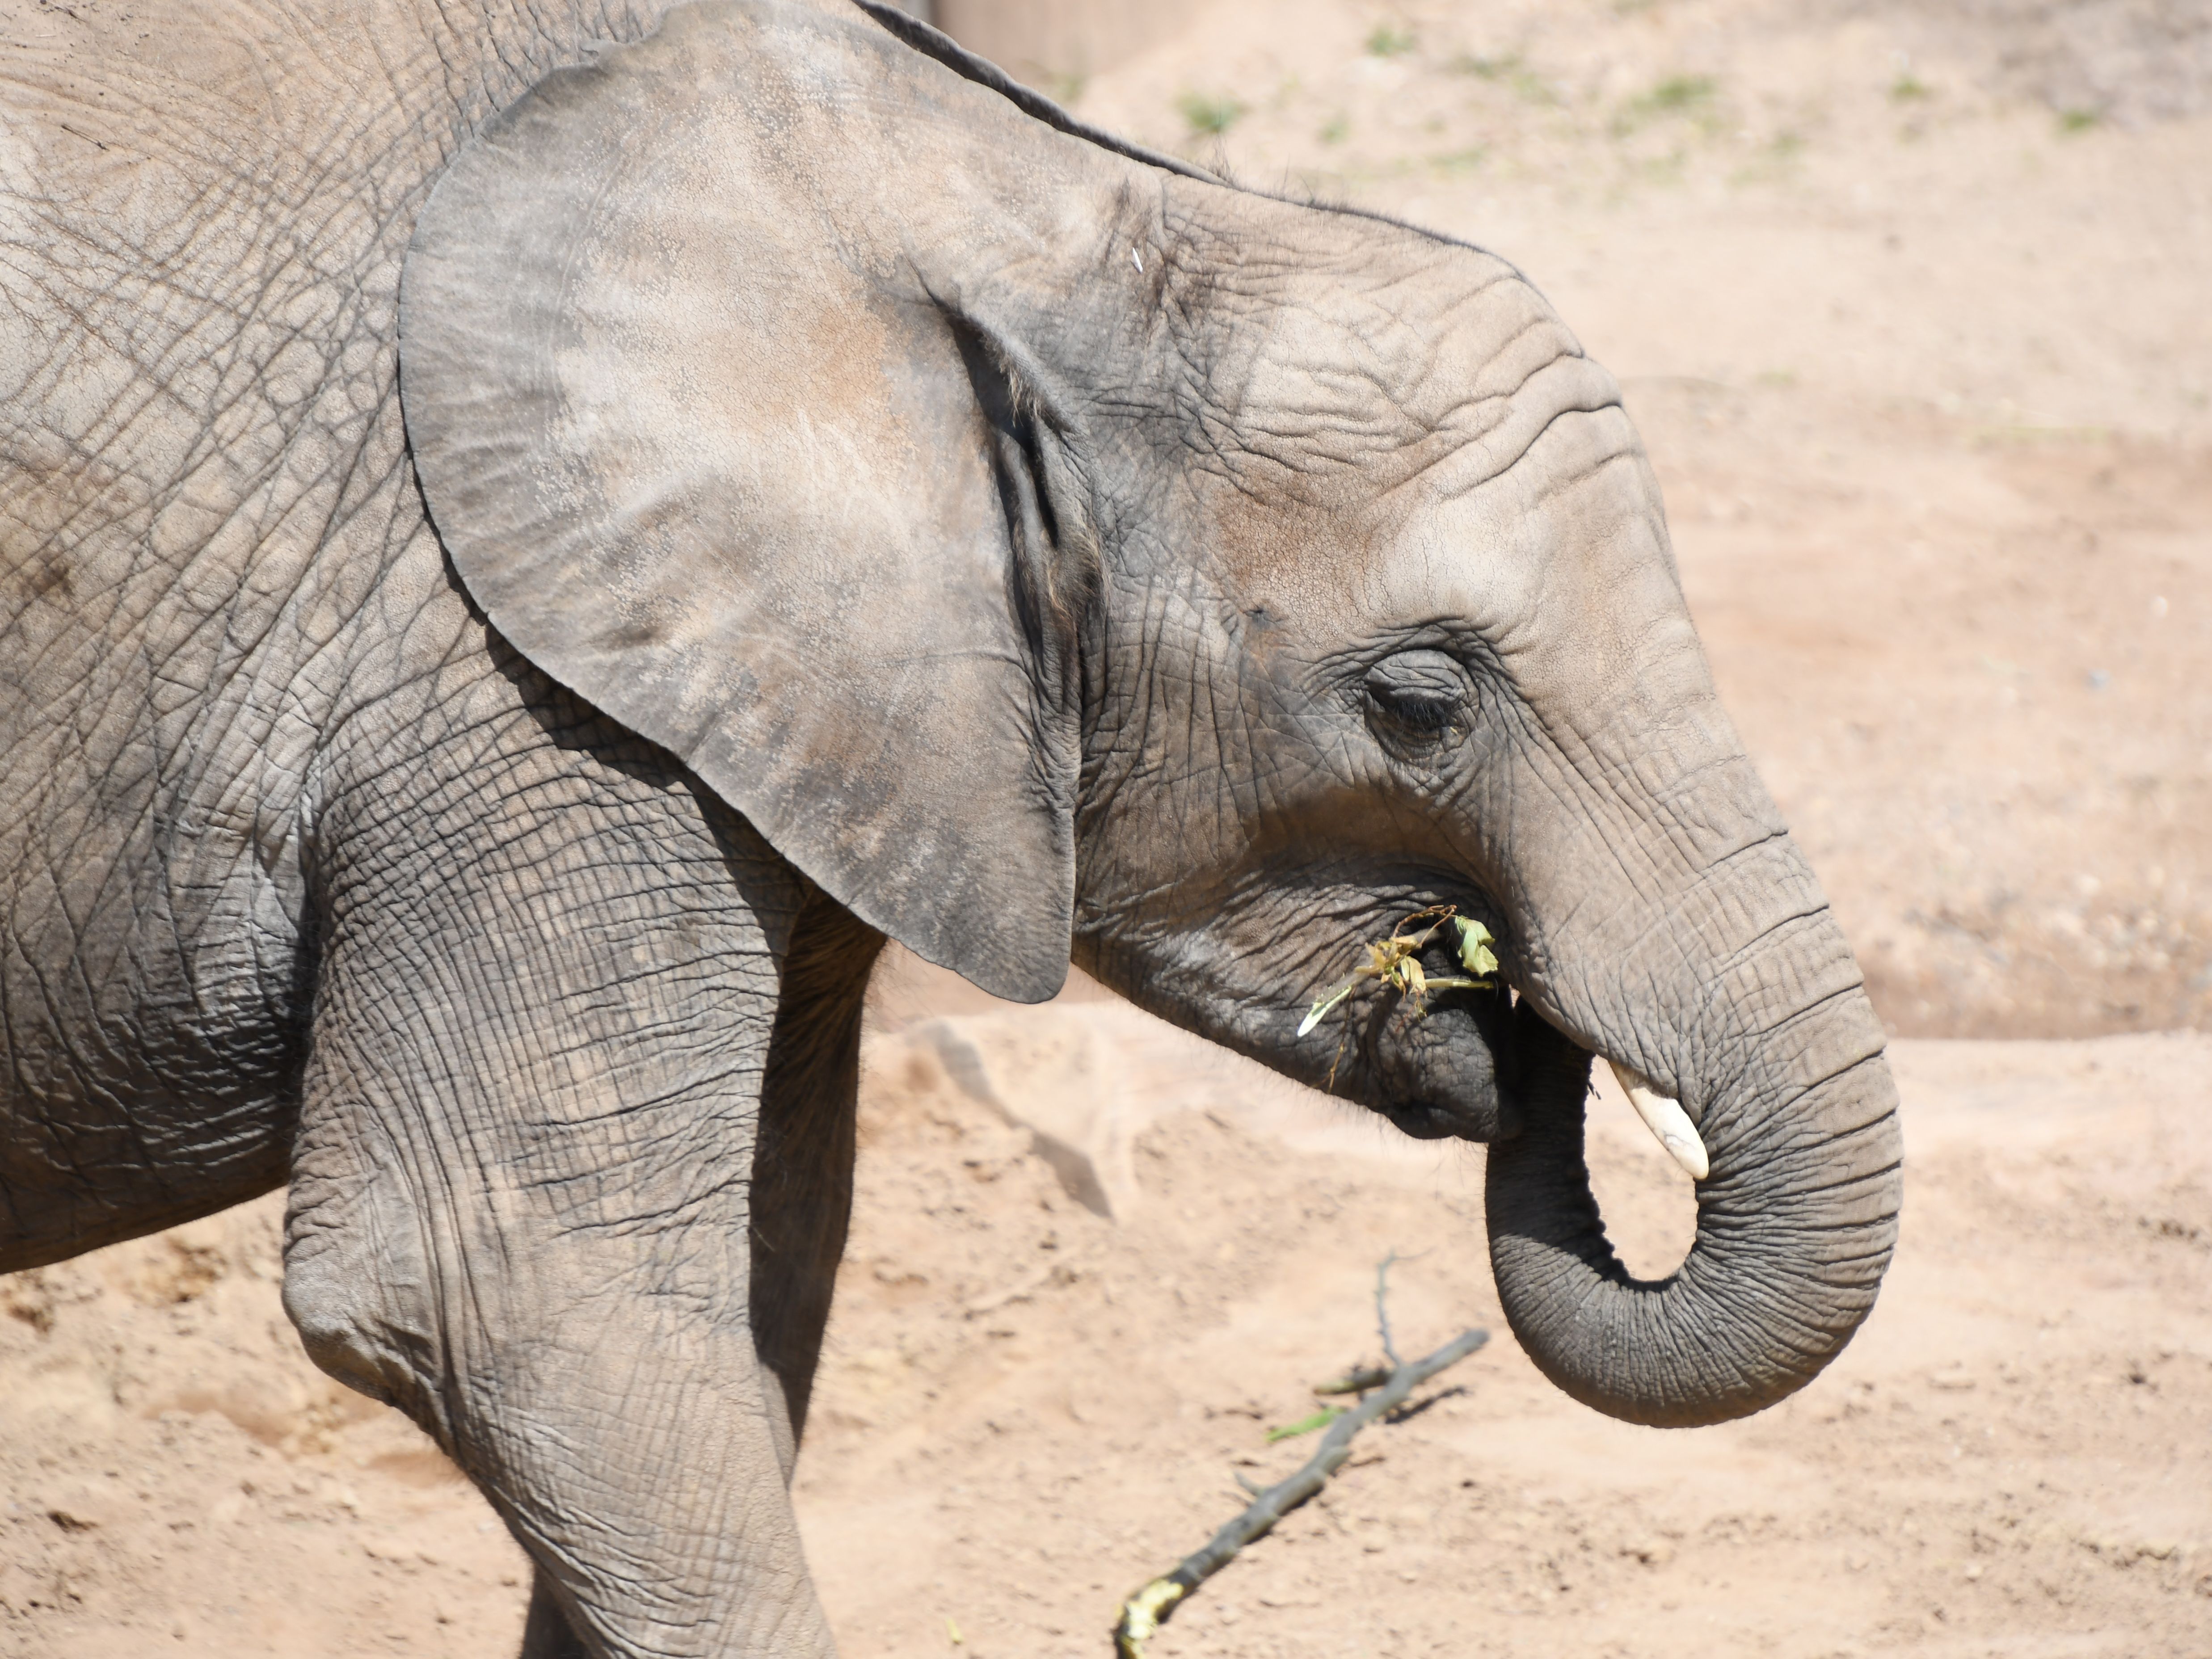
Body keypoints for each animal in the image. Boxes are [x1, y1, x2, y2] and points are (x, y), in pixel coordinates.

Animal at [0, 0, 1903, 1653]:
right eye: (1417, 702)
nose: (1493, 1004)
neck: (999, 201)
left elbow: (760, 1278)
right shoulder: (500, 678)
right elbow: (502, 1296)